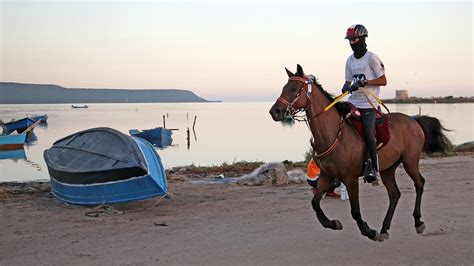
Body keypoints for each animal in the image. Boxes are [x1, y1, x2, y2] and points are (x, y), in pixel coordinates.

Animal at [268, 64, 450, 241]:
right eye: (284, 87)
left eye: (294, 88)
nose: (274, 111)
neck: (333, 134)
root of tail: (413, 120)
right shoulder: (326, 176)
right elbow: (315, 203)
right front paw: (332, 223)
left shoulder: (350, 179)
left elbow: (355, 211)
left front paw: (368, 231)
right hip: (387, 169)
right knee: (394, 194)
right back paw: (384, 228)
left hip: (410, 161)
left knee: (419, 184)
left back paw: (418, 221)